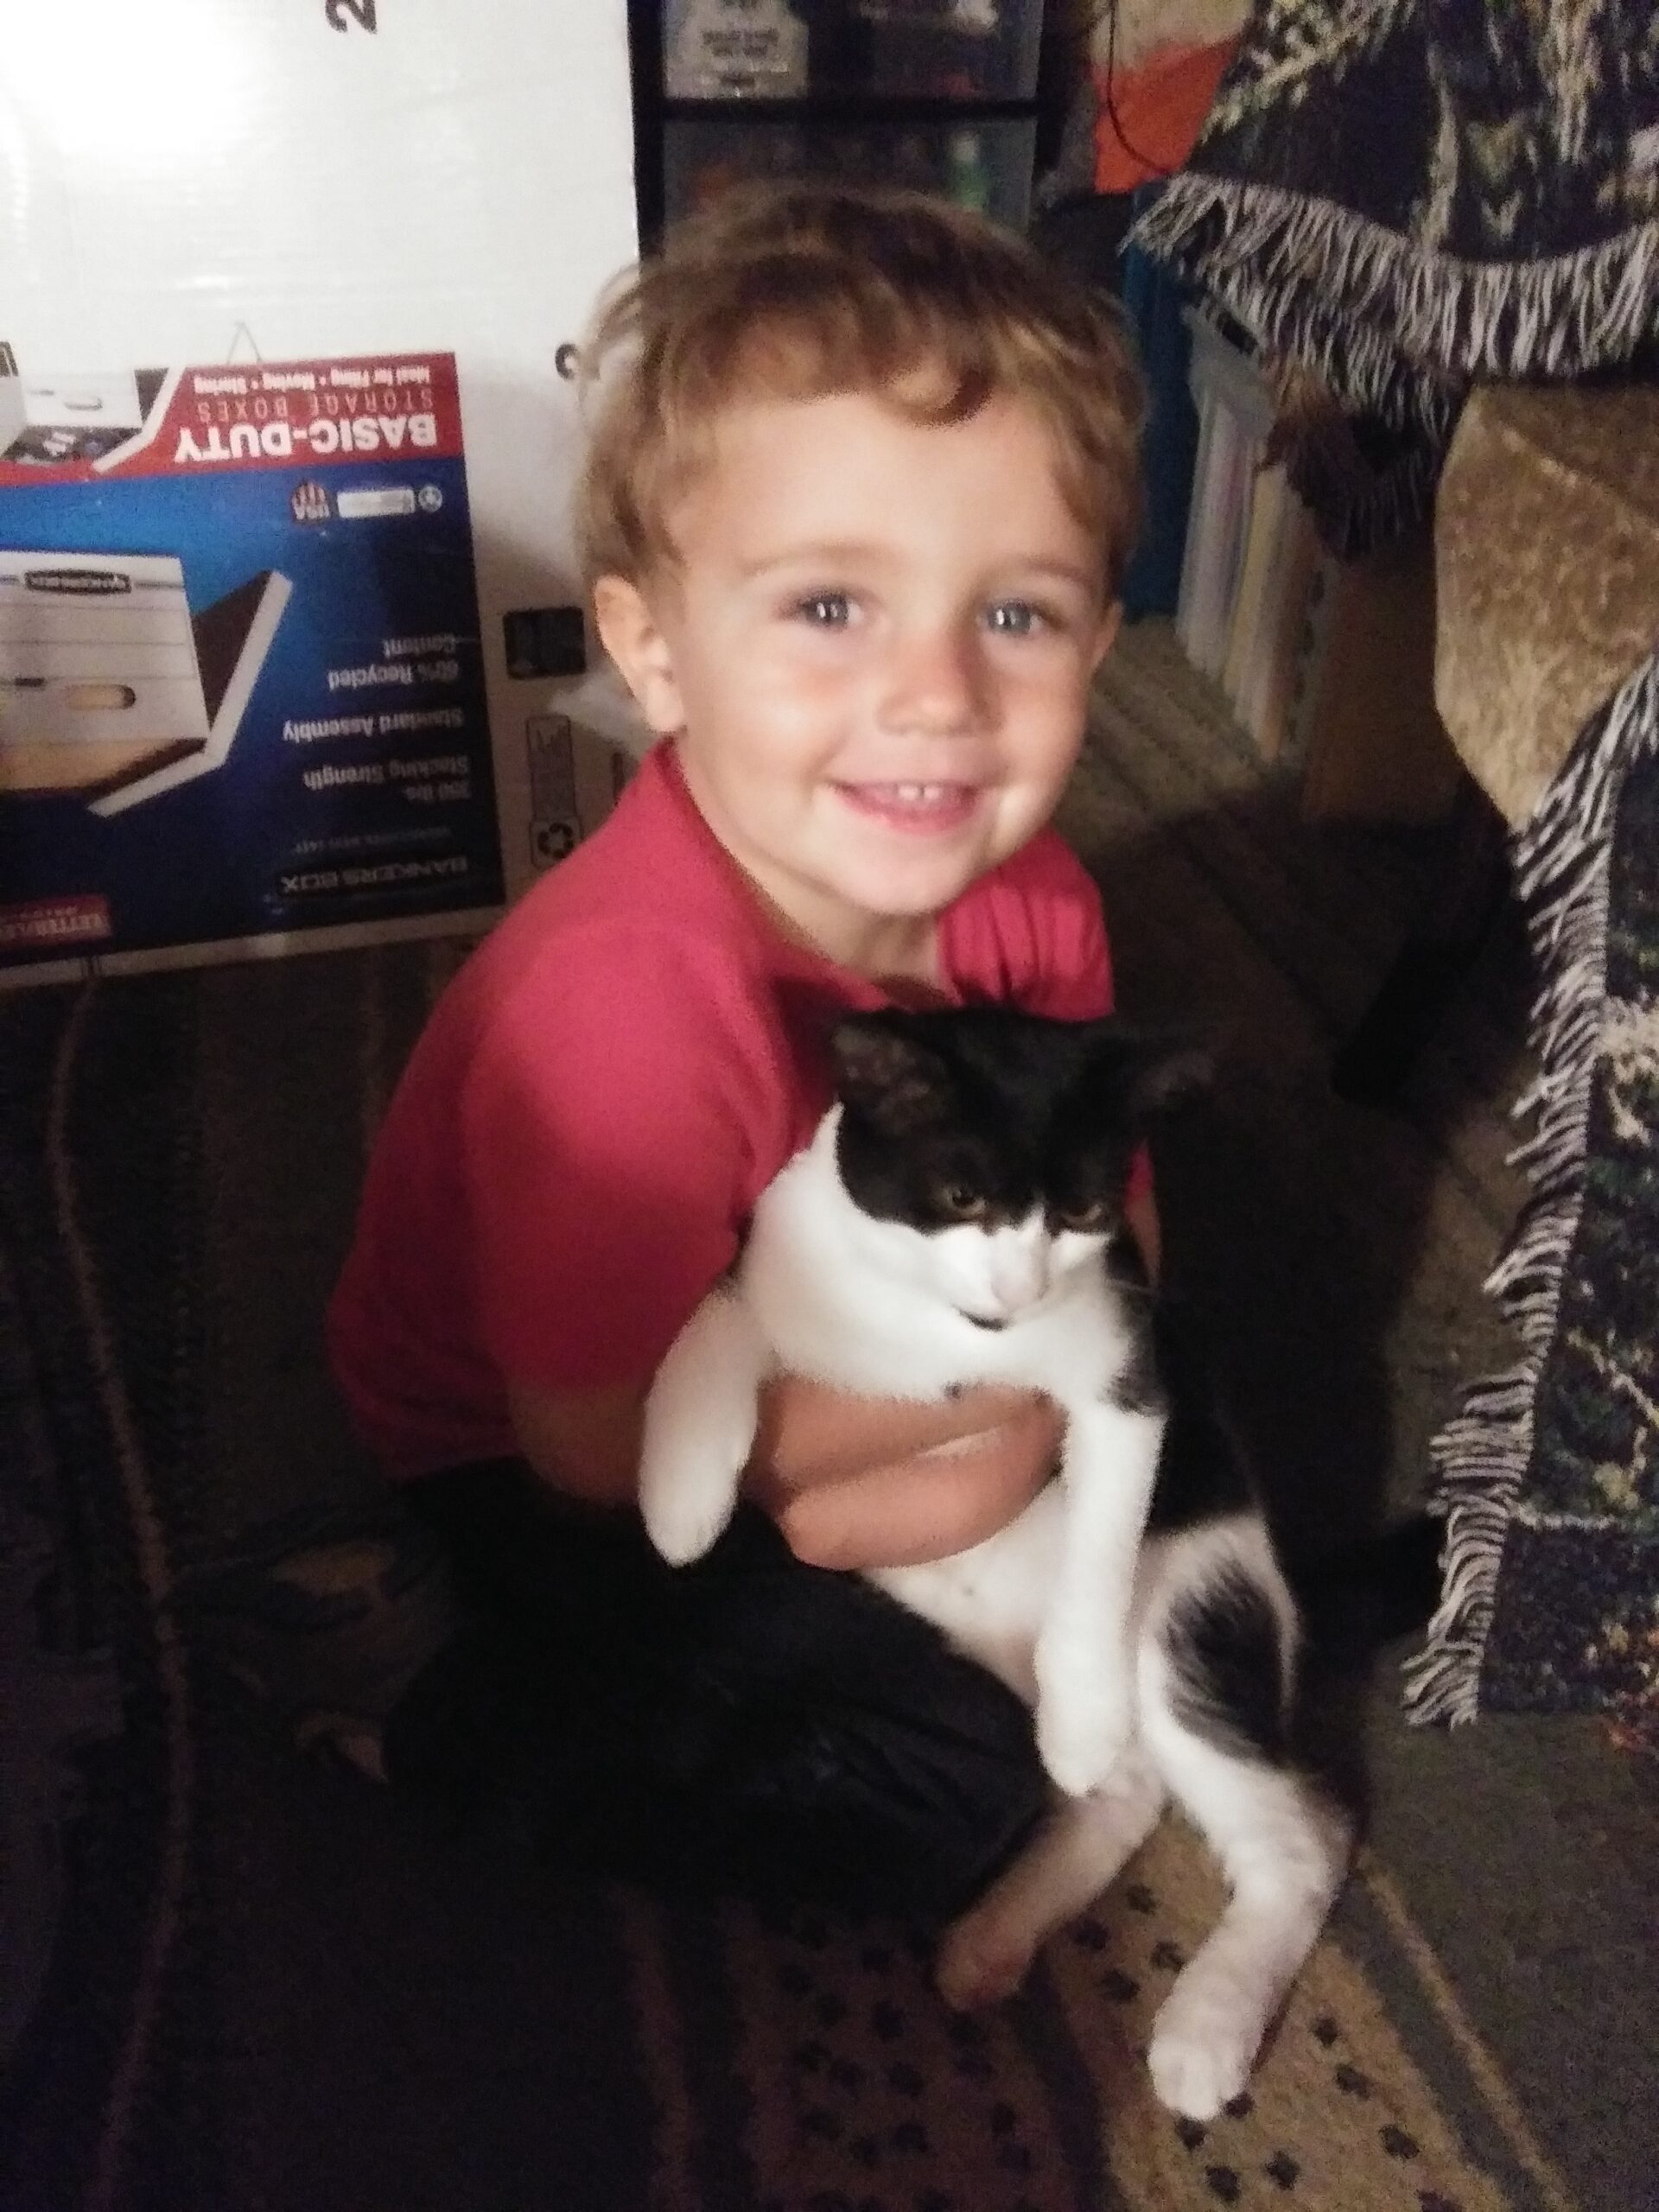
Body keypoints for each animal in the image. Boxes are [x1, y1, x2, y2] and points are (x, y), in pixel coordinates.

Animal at [637, 1005, 1352, 2121]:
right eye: (961, 1197)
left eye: (1084, 1207)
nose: (1018, 1289)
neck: (941, 1335)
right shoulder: (787, 1257)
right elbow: (720, 1306)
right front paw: (679, 1484)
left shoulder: (1126, 1373)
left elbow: (1107, 1521)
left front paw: (1086, 1704)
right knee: (1127, 1792)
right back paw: (997, 1932)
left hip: (1192, 1602)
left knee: (1301, 1842)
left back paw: (1209, 2024)